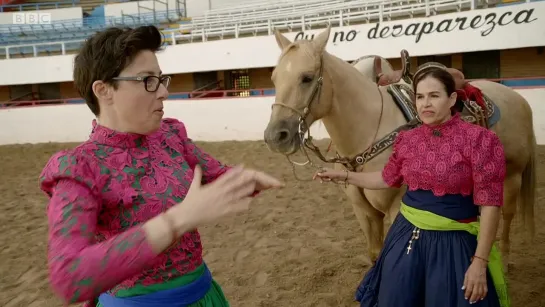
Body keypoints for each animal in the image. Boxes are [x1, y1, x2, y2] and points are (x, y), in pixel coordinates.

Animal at [264, 25, 536, 270]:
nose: (275, 136)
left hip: (511, 176)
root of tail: (518, 98)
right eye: (274, 78)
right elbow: (375, 254)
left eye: (307, 77)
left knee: (506, 215)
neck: (368, 131)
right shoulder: (364, 212)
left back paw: (504, 261)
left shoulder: (397, 207)